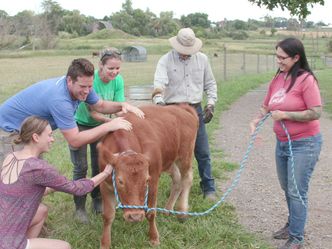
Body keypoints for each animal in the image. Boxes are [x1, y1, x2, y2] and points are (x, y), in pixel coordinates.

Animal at [98, 103, 197, 247]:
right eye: (120, 181)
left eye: (146, 180)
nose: (135, 216)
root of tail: (180, 107)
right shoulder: (105, 185)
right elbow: (108, 216)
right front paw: (105, 243)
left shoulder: (154, 181)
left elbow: (150, 213)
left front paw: (154, 238)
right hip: (169, 160)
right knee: (177, 179)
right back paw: (168, 209)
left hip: (185, 154)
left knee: (187, 178)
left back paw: (182, 211)